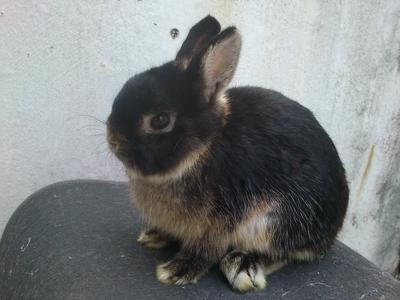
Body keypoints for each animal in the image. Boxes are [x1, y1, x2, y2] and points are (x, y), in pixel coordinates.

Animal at [106, 15, 346, 292]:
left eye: (160, 120)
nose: (113, 140)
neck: (203, 148)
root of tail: (333, 230)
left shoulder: (221, 221)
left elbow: (207, 250)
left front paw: (177, 270)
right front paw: (154, 235)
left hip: (277, 222)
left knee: (282, 254)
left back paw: (242, 266)